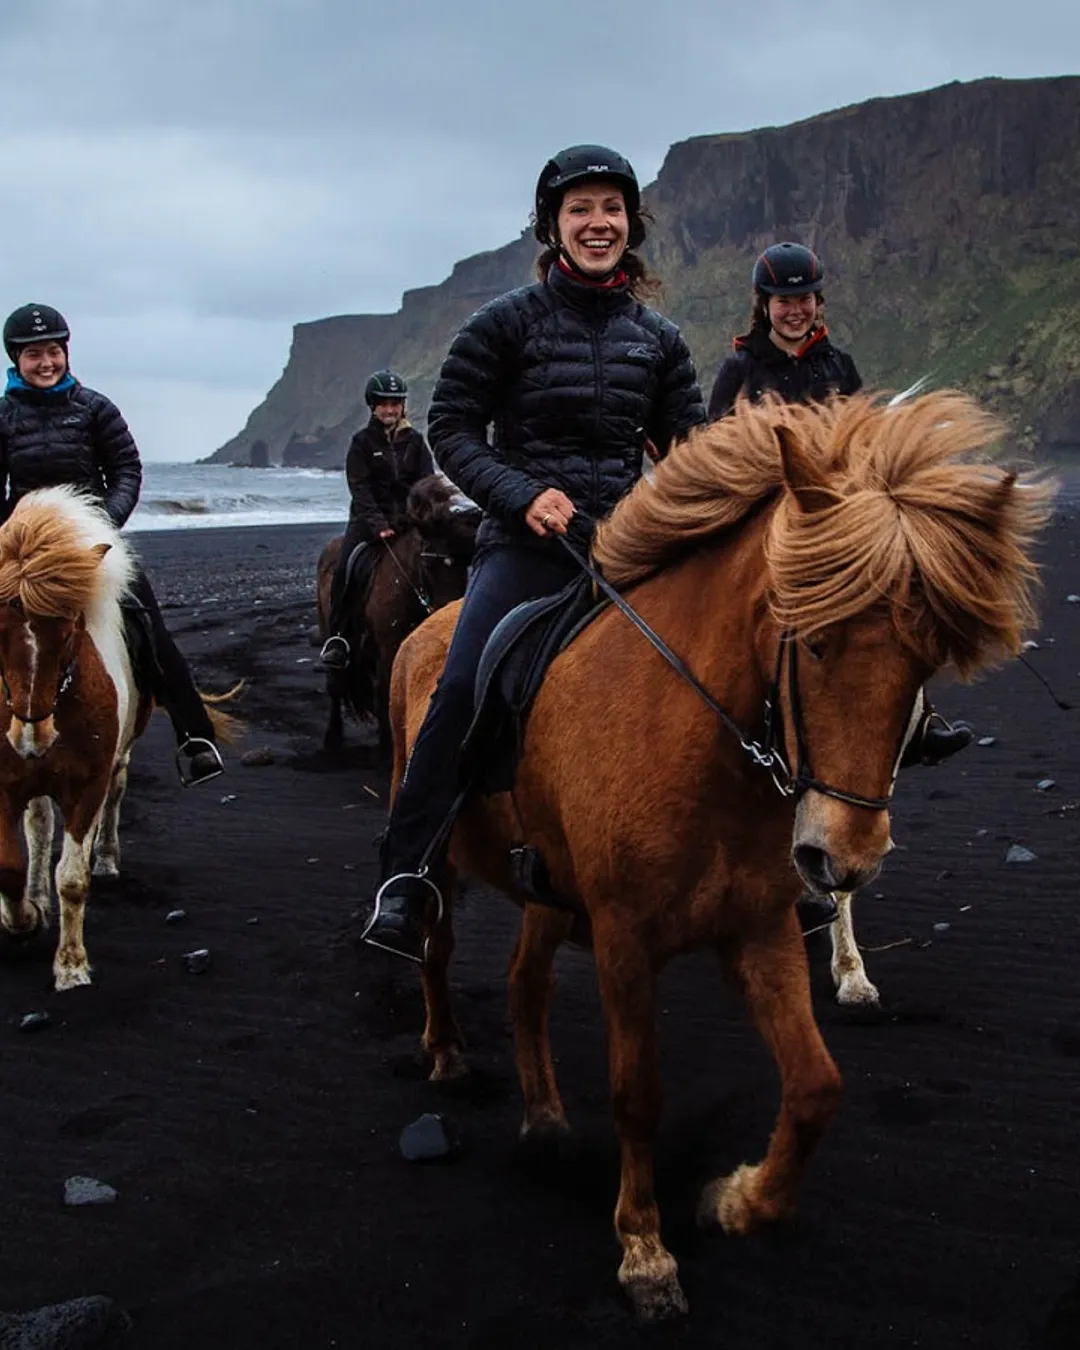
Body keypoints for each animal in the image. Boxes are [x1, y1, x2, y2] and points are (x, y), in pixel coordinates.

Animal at [0, 488, 151, 993]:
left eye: (68, 633)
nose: (32, 736)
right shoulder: (6, 785)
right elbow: (10, 866)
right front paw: (25, 918)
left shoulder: (88, 783)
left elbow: (72, 877)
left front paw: (70, 965)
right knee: (40, 825)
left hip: (118, 761)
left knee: (114, 799)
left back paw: (105, 858)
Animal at [315, 477, 477, 756]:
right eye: (428, 565)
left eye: (464, 567)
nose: (446, 620)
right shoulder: (388, 648)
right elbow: (385, 696)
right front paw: (386, 747)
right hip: (331, 632)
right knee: (335, 686)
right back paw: (332, 737)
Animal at [391, 391, 1053, 1317]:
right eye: (813, 640)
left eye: (925, 660)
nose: (843, 859)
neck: (697, 740)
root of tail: (429, 627)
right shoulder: (626, 942)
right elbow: (638, 1094)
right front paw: (645, 1253)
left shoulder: (760, 930)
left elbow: (815, 1086)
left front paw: (736, 1202)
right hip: (443, 861)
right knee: (436, 948)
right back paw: (447, 1050)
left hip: (550, 895)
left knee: (525, 984)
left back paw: (547, 1120)